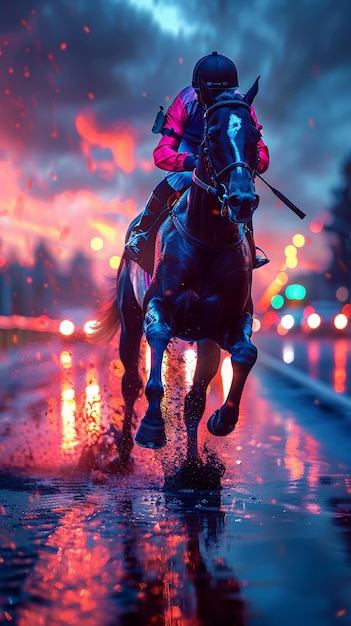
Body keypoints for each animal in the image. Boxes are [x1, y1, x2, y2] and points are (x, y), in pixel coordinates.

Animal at [92, 77, 262, 468]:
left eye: (255, 133)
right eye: (212, 134)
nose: (242, 200)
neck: (209, 241)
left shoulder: (228, 321)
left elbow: (245, 354)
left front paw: (223, 419)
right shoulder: (159, 305)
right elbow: (156, 342)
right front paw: (153, 428)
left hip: (204, 339)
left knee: (194, 399)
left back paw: (192, 464)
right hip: (129, 317)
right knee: (130, 383)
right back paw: (122, 456)